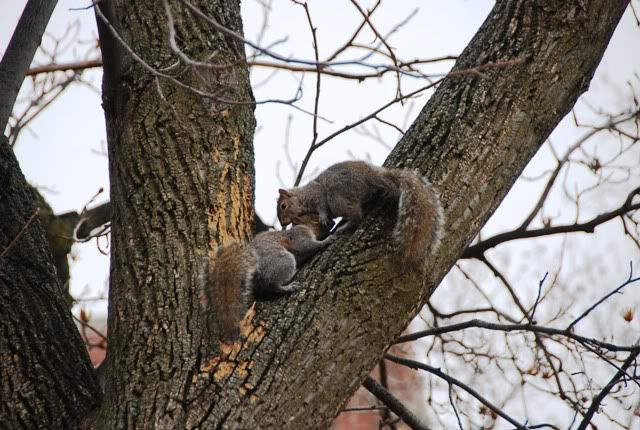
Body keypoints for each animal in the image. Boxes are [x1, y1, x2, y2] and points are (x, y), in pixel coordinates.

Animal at [205, 214, 334, 342]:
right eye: (315, 218)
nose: (332, 223)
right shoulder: (299, 236)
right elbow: (306, 247)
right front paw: (327, 240)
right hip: (284, 262)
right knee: (273, 285)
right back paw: (288, 286)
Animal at [277, 160, 444, 266]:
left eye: (283, 206)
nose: (283, 223)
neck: (302, 196)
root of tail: (373, 178)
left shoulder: (317, 195)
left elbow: (322, 207)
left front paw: (323, 218)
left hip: (338, 198)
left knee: (357, 215)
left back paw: (344, 226)